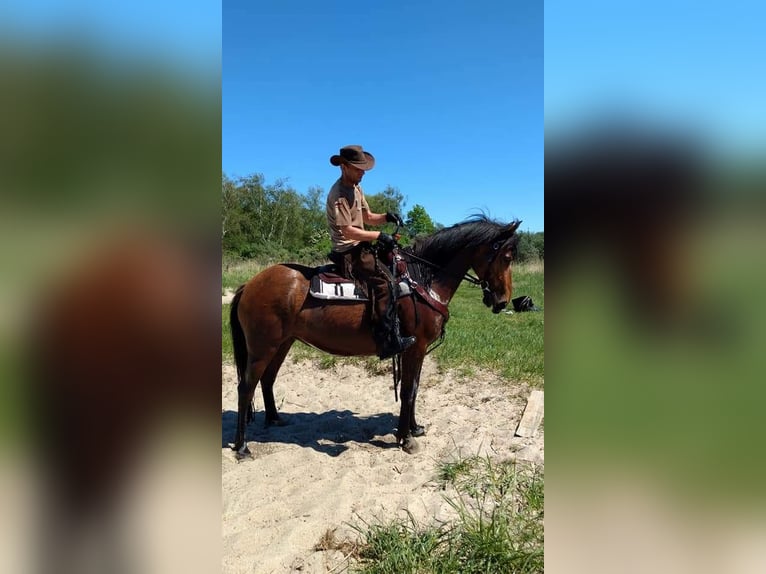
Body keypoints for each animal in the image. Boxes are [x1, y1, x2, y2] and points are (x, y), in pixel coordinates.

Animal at [231, 216, 520, 460]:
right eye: (506, 257)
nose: (502, 301)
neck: (421, 281)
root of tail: (250, 284)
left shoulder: (416, 350)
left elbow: (414, 388)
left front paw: (414, 428)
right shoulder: (414, 348)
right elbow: (408, 391)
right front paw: (406, 439)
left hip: (282, 343)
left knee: (268, 379)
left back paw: (275, 419)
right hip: (262, 347)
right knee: (246, 387)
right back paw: (242, 447)